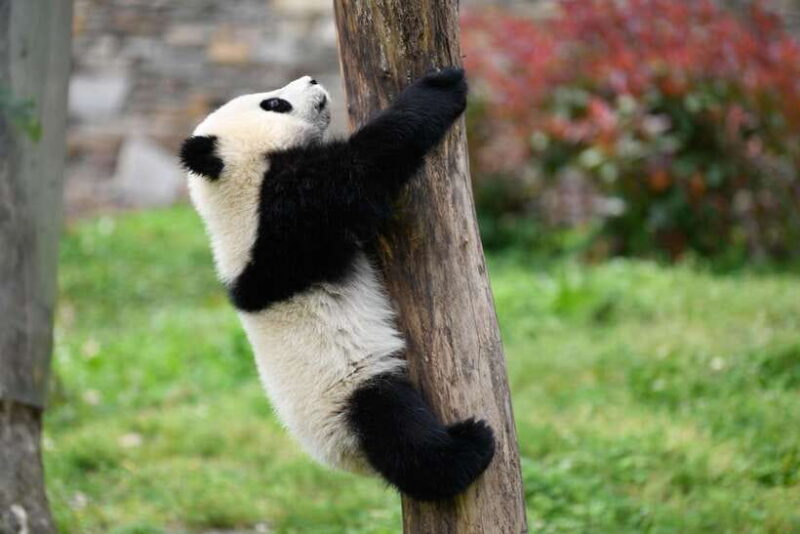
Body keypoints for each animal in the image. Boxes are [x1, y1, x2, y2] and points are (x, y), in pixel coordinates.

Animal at [179, 68, 495, 502]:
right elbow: (358, 171)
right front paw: (440, 86)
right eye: (273, 104)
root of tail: (341, 459)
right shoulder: (281, 217)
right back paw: (468, 449)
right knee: (399, 429)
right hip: (348, 395)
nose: (312, 79)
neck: (233, 192)